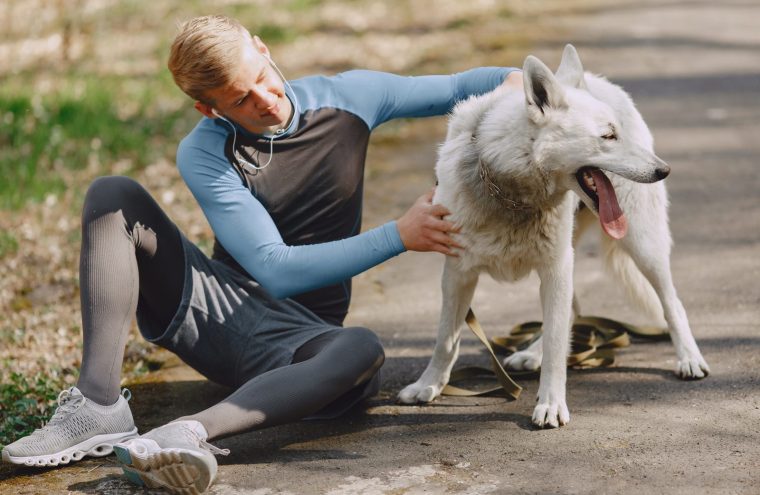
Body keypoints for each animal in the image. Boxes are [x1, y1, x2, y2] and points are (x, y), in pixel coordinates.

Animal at [400, 46, 708, 430]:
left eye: (618, 133)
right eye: (608, 136)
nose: (664, 170)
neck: (510, 191)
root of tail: (595, 78)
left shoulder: (555, 270)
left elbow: (557, 346)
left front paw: (550, 405)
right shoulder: (458, 274)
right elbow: (446, 339)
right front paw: (428, 386)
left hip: (642, 246)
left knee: (671, 303)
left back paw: (689, 358)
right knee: (570, 312)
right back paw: (530, 353)